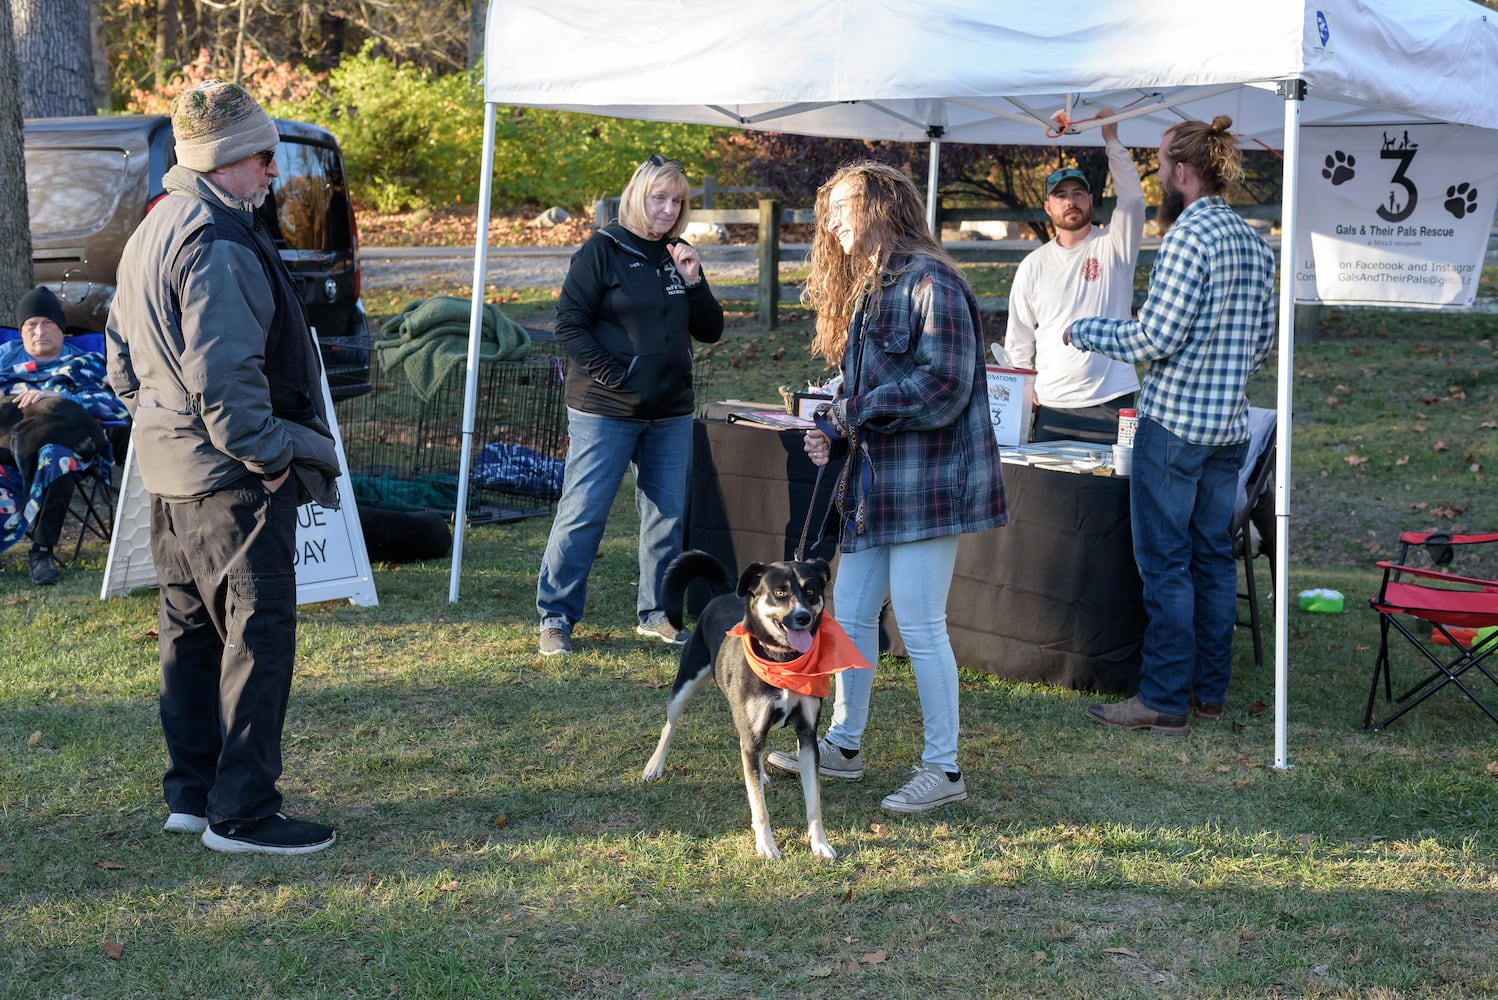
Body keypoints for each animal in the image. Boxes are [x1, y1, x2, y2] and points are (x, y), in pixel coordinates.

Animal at [641, 547, 862, 862]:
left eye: (811, 591)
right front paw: (766, 845)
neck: (782, 660)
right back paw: (654, 765)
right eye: (780, 592)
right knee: (669, 726)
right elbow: (759, 806)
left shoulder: (807, 737)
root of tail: (722, 593)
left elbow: (814, 802)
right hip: (686, 684)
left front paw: (819, 843)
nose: (803, 617)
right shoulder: (753, 732)